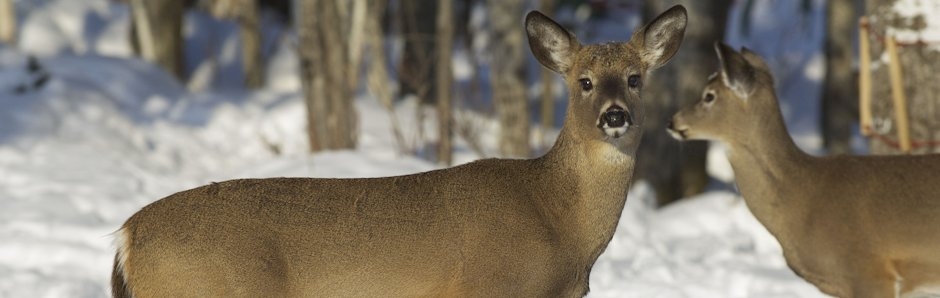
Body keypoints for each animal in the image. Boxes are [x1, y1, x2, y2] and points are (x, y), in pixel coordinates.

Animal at [112, 5, 692, 298]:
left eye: (635, 78)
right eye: (584, 82)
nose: (614, 115)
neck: (558, 221)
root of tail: (128, 237)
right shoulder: (482, 289)